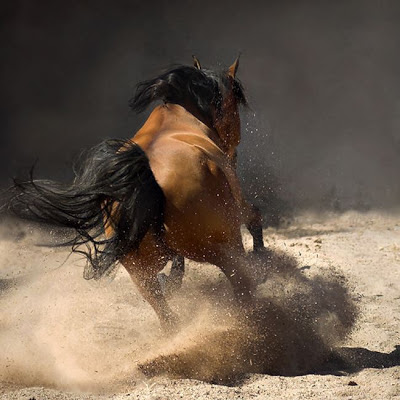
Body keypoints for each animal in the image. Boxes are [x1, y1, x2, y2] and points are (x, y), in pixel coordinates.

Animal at [7, 57, 264, 332]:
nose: (233, 149)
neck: (180, 118)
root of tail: (150, 179)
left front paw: (173, 280)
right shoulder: (237, 204)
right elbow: (254, 216)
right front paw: (263, 258)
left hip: (141, 274)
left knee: (167, 316)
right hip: (224, 248)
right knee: (242, 288)